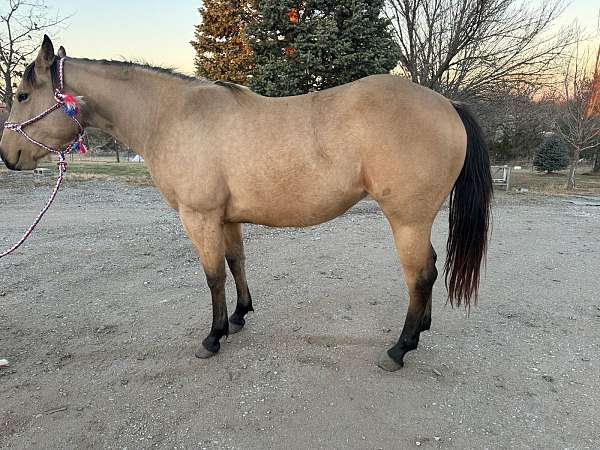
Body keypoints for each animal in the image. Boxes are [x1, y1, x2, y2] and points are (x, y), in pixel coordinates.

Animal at [0, 37, 490, 370]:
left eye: (22, 95)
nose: (8, 155)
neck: (170, 116)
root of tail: (447, 103)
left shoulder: (199, 218)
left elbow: (213, 275)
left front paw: (213, 337)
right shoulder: (226, 218)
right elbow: (236, 262)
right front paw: (238, 316)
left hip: (407, 219)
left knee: (420, 274)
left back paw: (400, 348)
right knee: (428, 270)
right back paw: (419, 331)